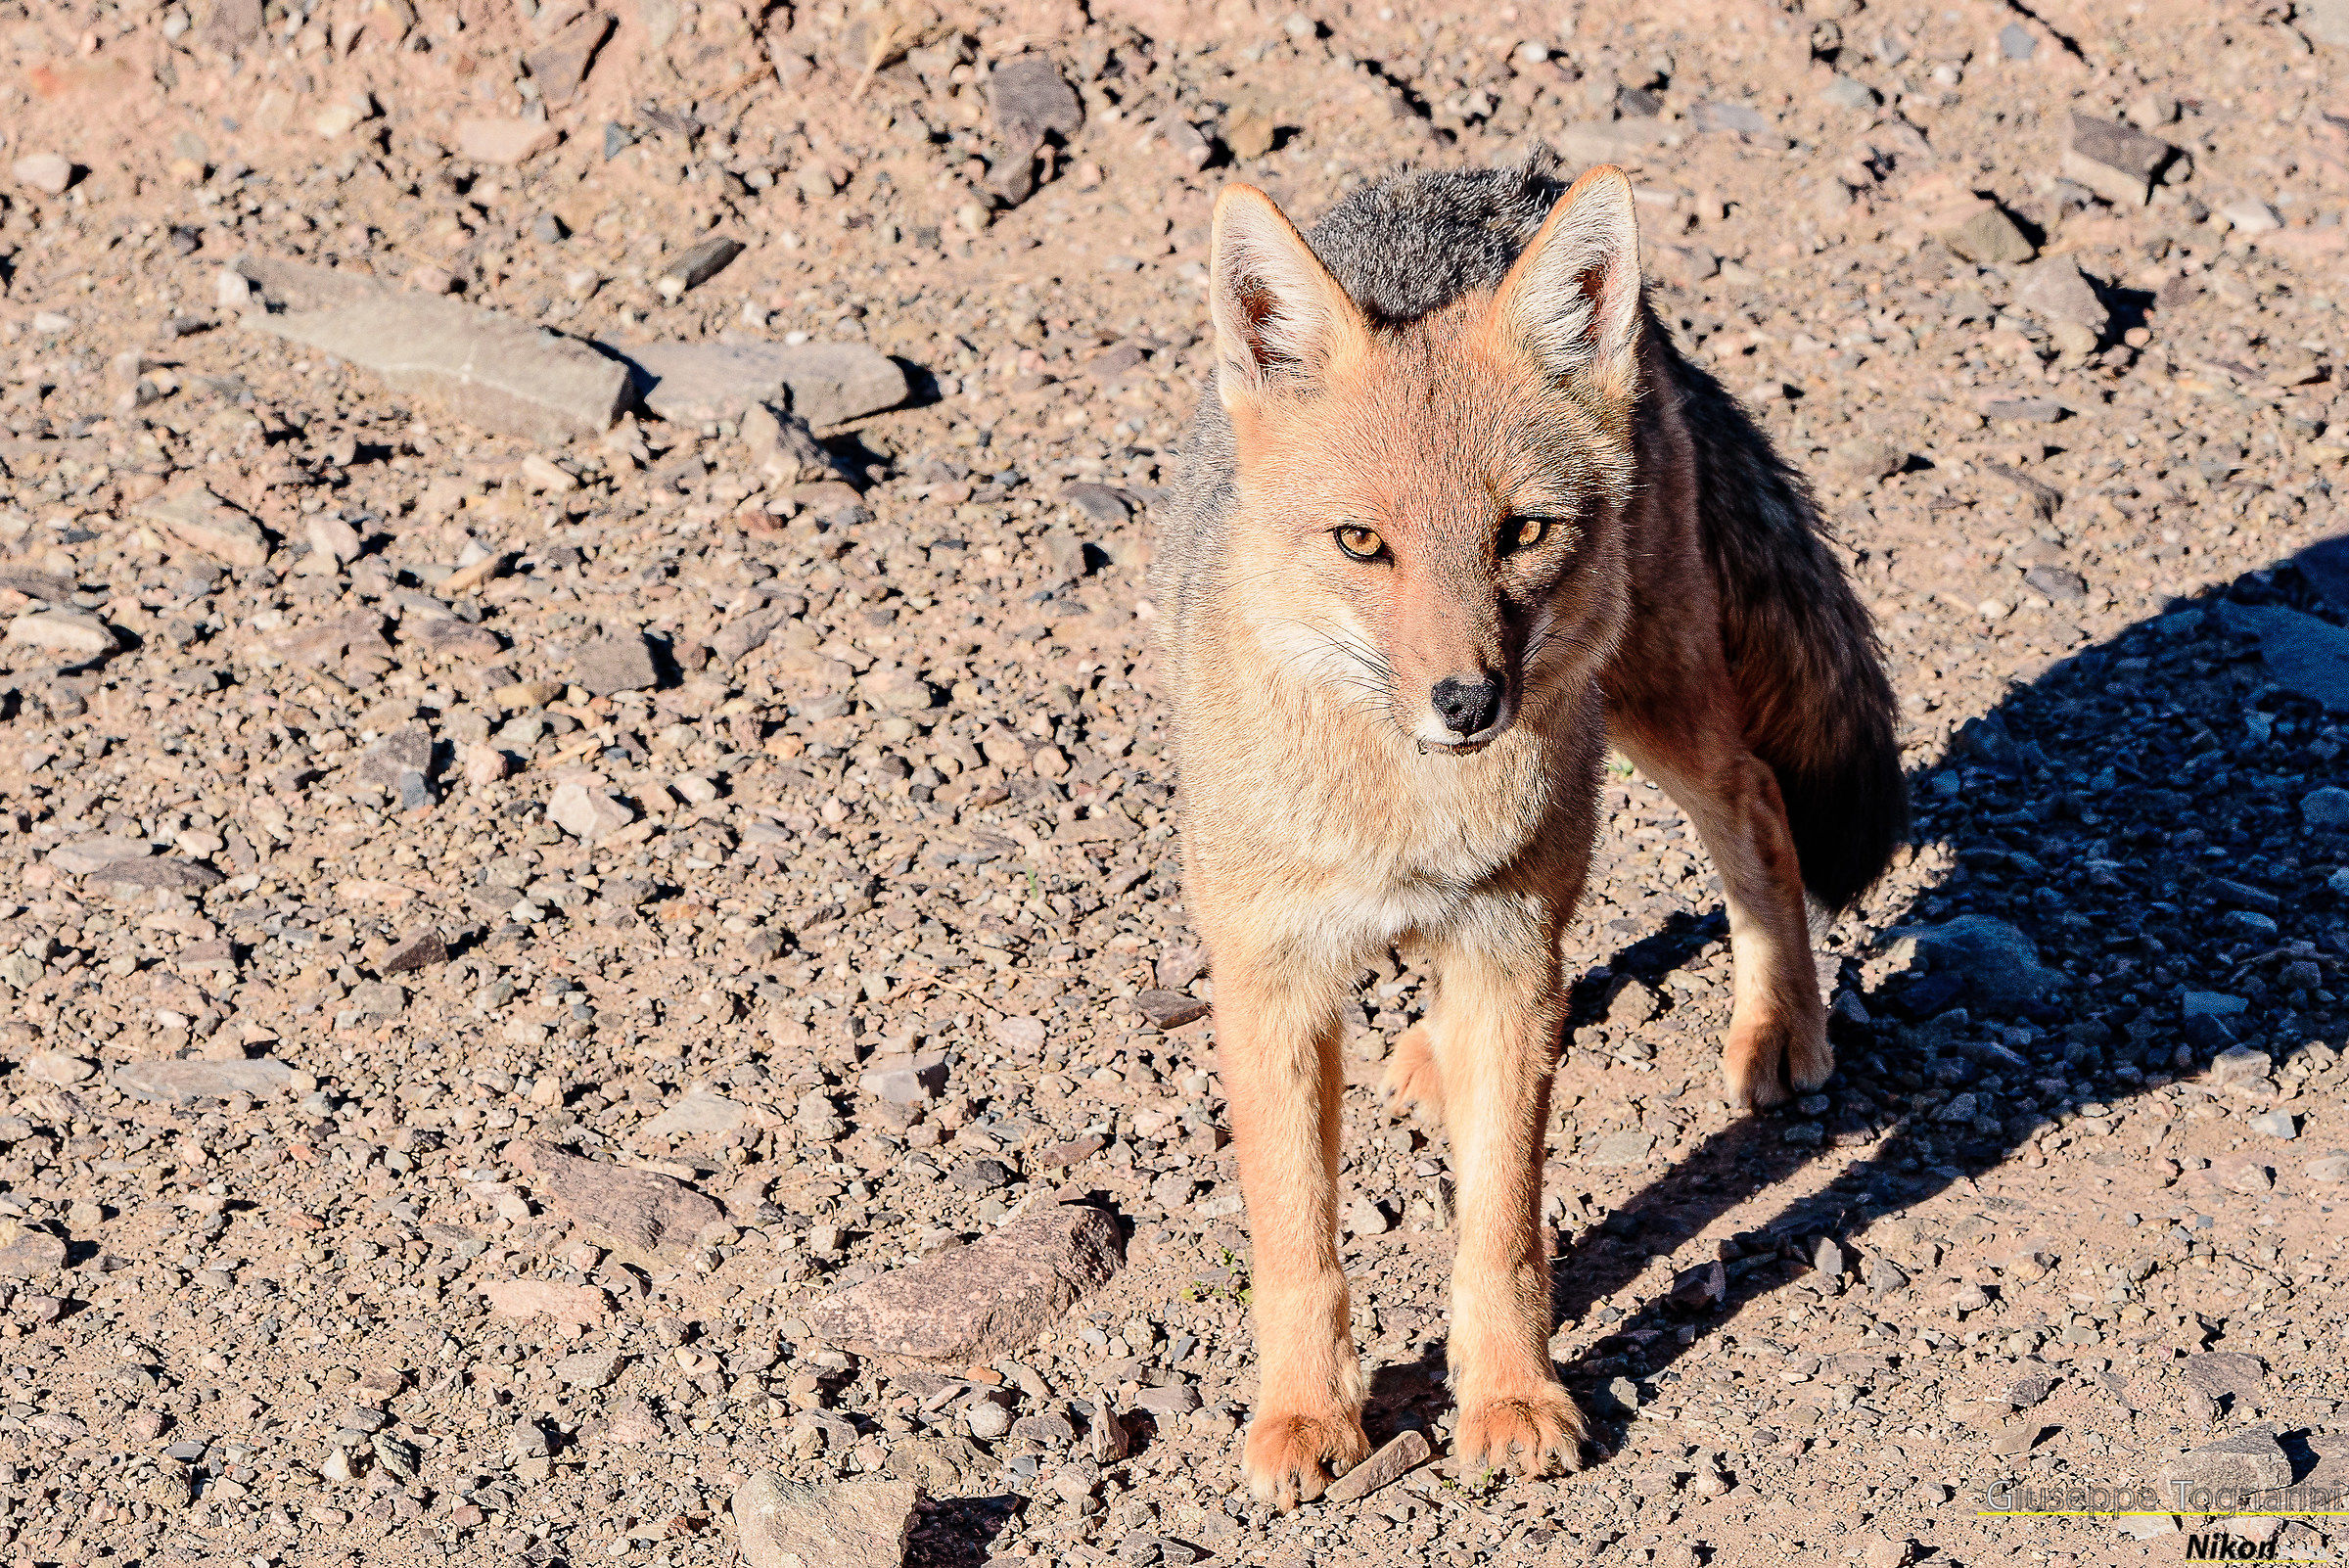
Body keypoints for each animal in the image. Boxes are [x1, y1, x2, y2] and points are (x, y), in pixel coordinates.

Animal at [1156, 144, 1907, 1508]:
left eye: (1522, 532)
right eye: (1362, 542)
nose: (1468, 701)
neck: (1406, 813)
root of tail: (1497, 177)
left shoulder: (1506, 947)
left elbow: (1502, 1224)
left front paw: (1509, 1396)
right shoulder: (1267, 977)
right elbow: (1295, 1237)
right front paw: (1304, 1415)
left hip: (1653, 705)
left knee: (1758, 807)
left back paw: (1780, 1026)